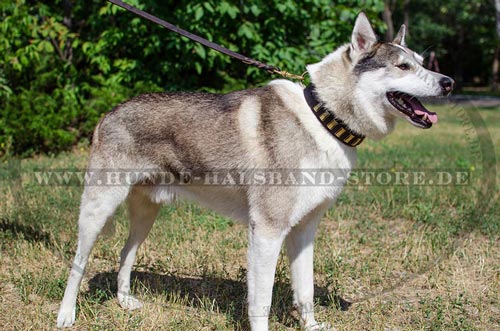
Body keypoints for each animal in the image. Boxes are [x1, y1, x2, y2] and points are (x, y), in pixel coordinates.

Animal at [57, 13, 454, 331]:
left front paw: (311, 327)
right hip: (96, 211)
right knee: (78, 263)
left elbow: (305, 290)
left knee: (126, 254)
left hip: (146, 215)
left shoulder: (304, 231)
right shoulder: (266, 231)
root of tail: (108, 113)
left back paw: (124, 301)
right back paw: (66, 314)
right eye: (402, 66)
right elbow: (260, 302)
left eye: (422, 62)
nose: (448, 82)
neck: (322, 118)